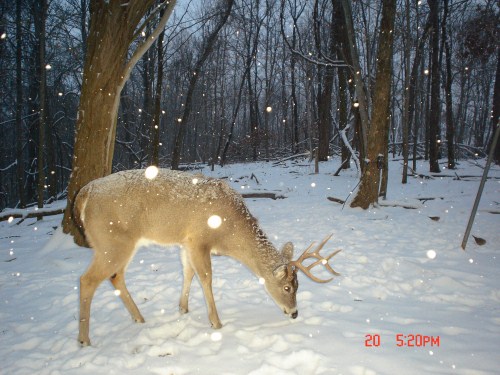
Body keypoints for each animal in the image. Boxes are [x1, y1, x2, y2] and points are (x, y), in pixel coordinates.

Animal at [73, 169, 340, 348]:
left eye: (299, 285)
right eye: (287, 287)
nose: (294, 313)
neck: (229, 230)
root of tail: (84, 193)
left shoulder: (185, 242)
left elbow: (188, 272)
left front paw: (183, 308)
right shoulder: (199, 239)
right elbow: (206, 278)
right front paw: (216, 323)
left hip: (117, 244)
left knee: (116, 276)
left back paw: (139, 318)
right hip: (112, 242)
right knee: (88, 279)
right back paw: (85, 339)